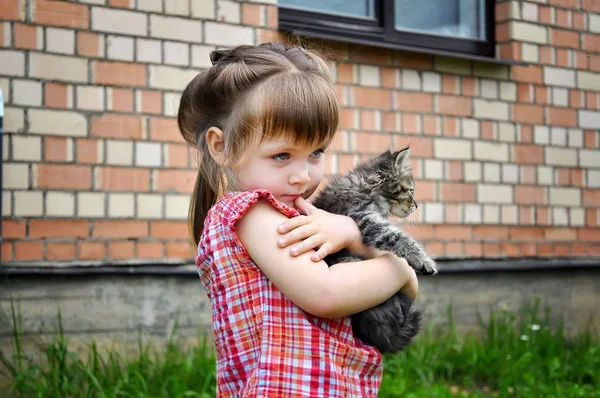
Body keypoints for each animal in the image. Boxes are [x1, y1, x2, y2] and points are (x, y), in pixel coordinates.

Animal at [314, 148, 436, 352]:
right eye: (411, 190)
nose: (416, 205)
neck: (367, 189)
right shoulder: (365, 219)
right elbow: (397, 236)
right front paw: (423, 260)